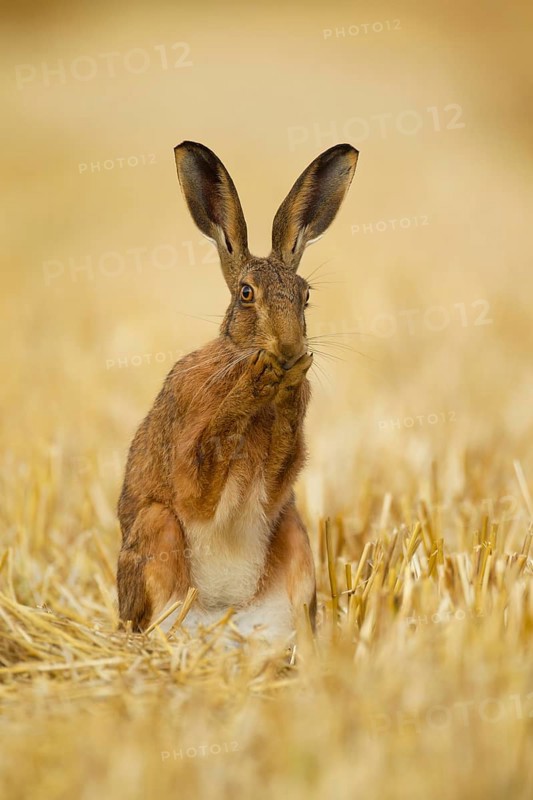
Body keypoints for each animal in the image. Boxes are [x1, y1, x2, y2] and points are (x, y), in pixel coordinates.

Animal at [117, 140, 358, 642]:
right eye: (247, 293)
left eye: (306, 296)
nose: (289, 349)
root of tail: (224, 619)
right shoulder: (191, 463)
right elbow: (207, 461)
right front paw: (255, 385)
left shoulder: (278, 481)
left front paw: (287, 385)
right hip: (156, 529)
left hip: (295, 537)